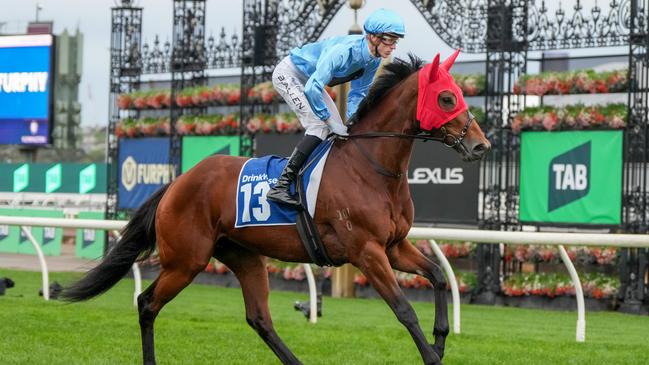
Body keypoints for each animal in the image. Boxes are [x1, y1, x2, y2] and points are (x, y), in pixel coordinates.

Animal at [66, 52, 488, 364]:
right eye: (447, 98)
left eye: (459, 94)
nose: (481, 145)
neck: (370, 166)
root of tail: (177, 183)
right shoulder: (366, 252)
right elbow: (403, 309)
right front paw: (432, 356)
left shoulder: (394, 246)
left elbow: (437, 276)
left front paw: (440, 340)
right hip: (186, 260)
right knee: (147, 303)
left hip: (244, 257)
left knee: (259, 319)